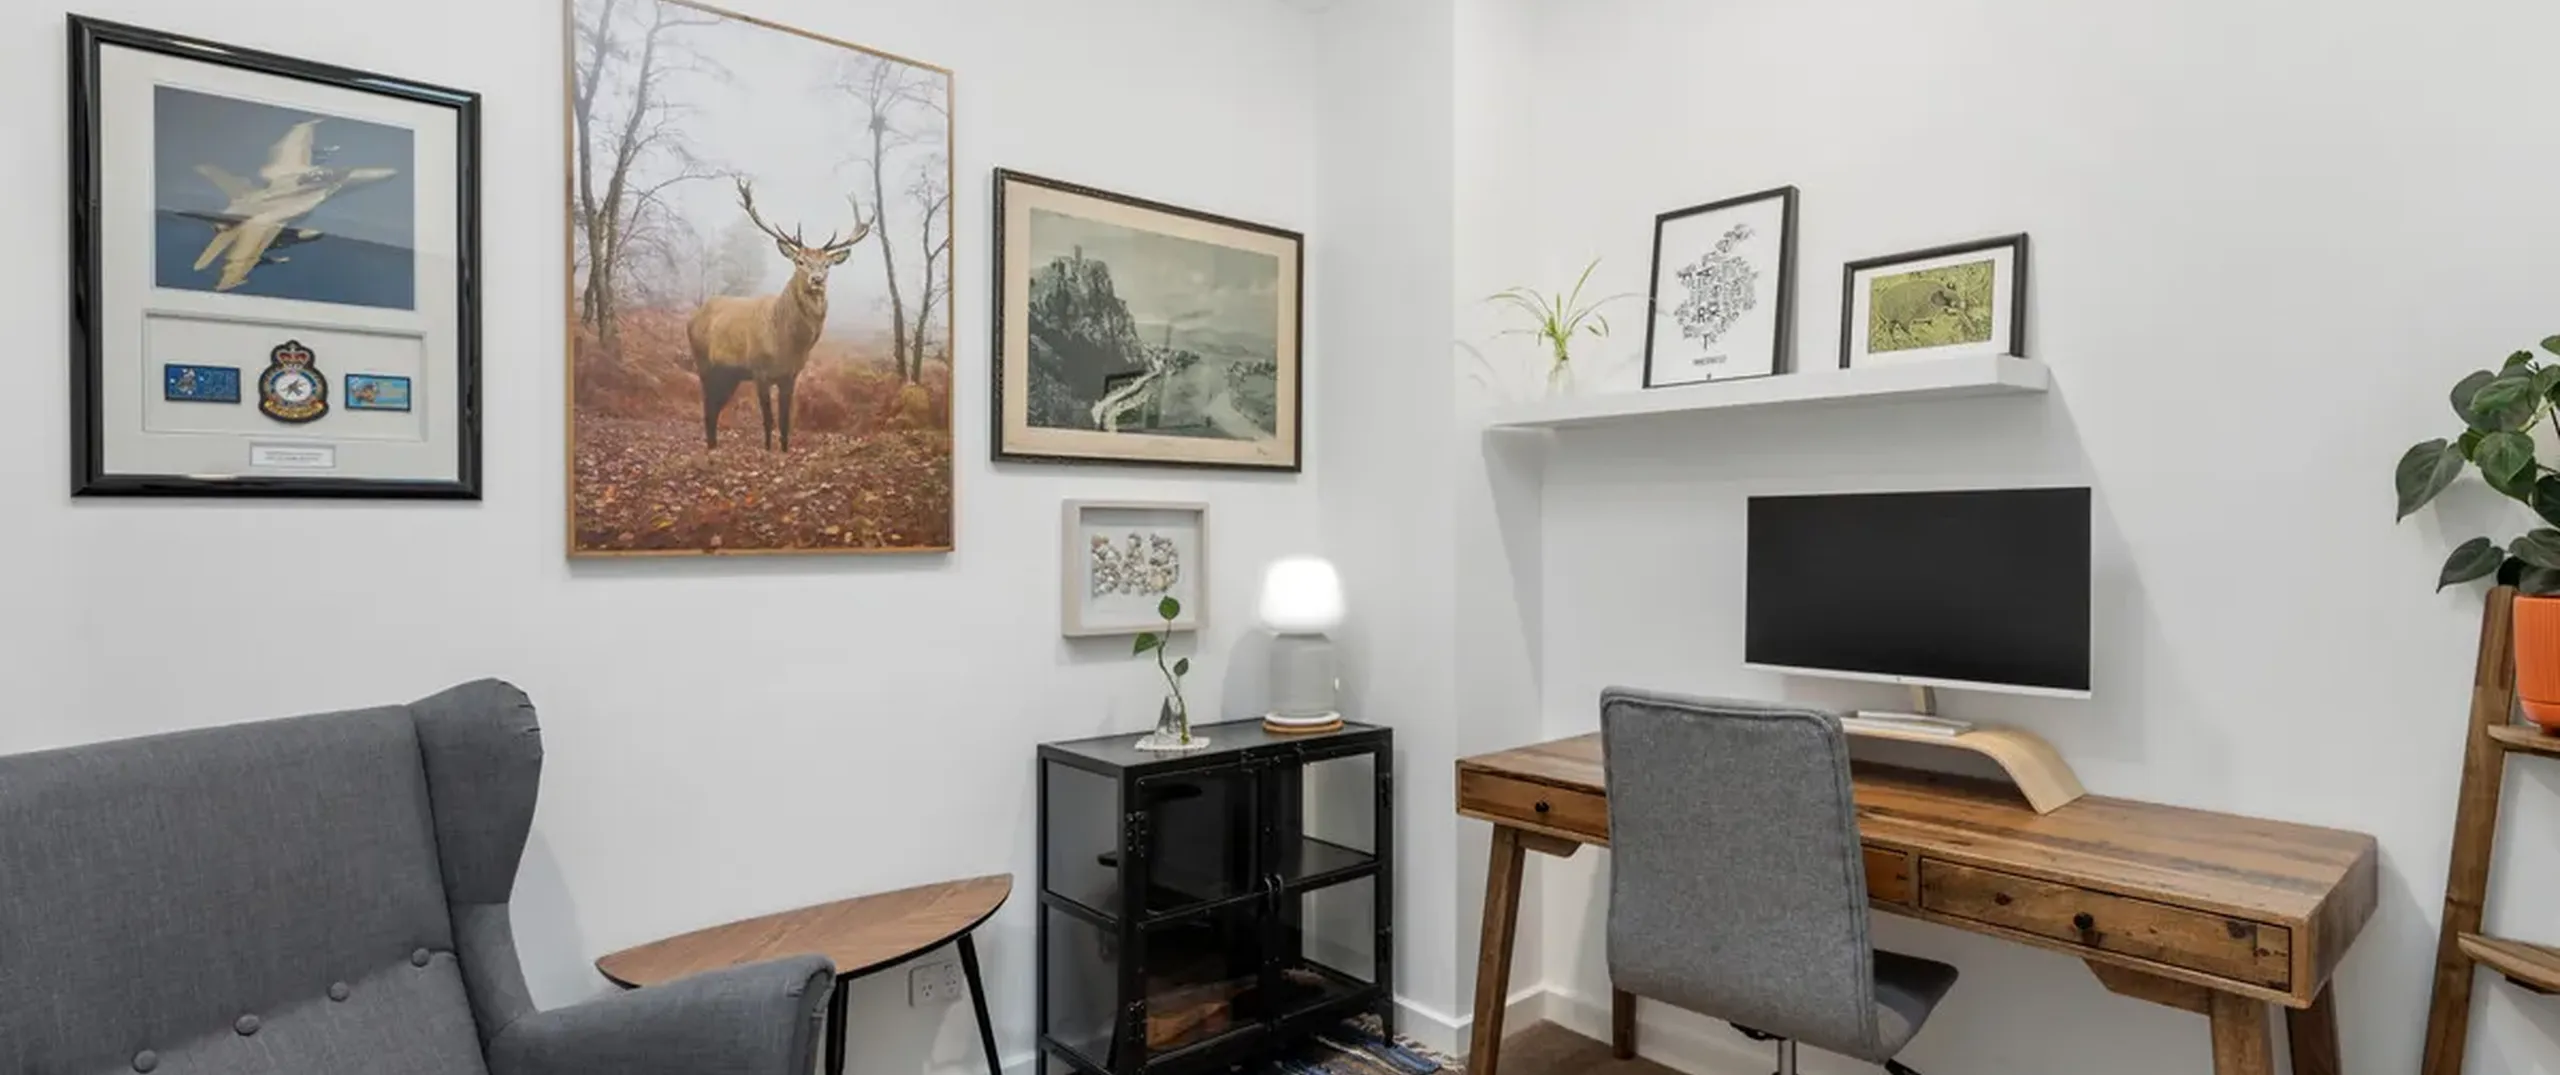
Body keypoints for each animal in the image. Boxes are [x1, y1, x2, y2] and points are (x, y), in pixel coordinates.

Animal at [686, 178, 872, 451]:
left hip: (730, 374)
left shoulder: (791, 375)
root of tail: (693, 317)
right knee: (708, 407)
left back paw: (714, 446)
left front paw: (783, 449)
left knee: (715, 408)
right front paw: (767, 450)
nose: (817, 279)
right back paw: (711, 448)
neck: (786, 341)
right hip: (704, 363)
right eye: (801, 261)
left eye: (827, 264)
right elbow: (768, 420)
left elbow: (785, 421)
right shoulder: (759, 370)